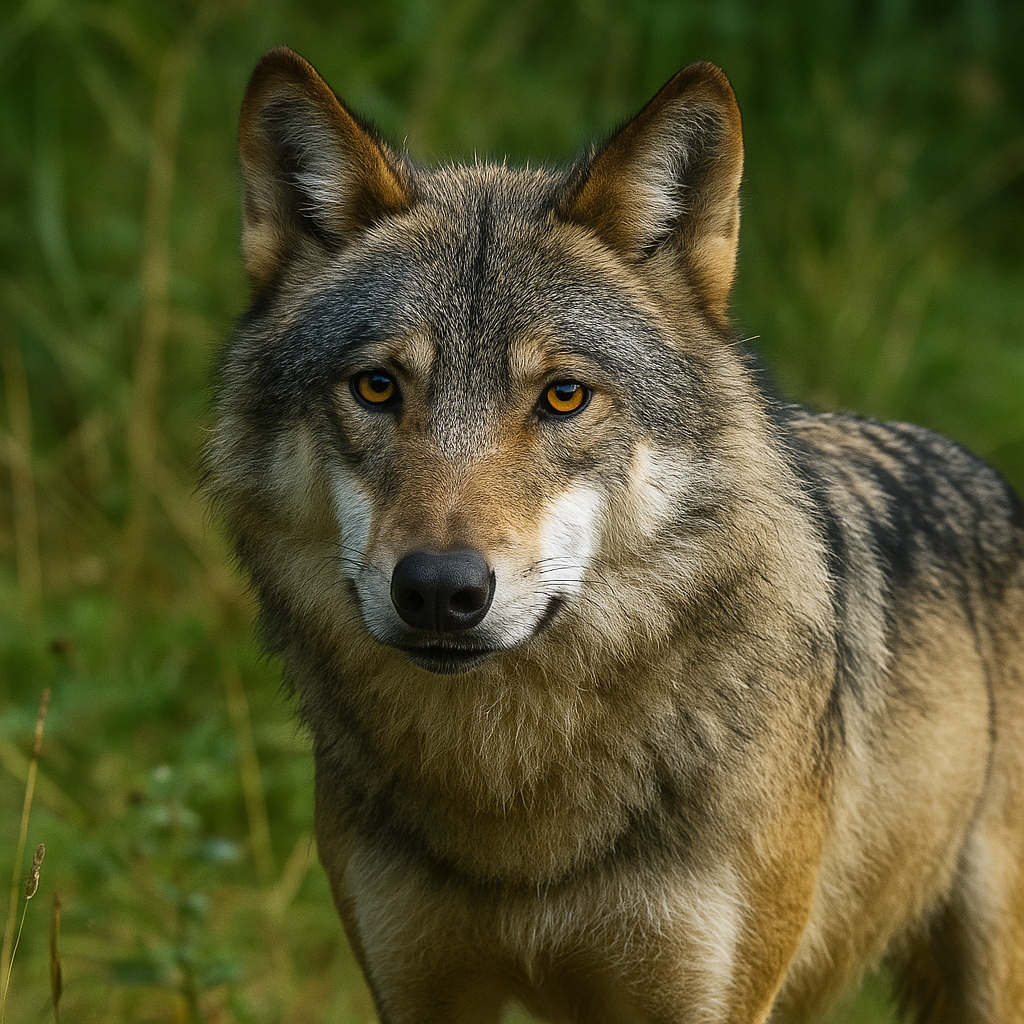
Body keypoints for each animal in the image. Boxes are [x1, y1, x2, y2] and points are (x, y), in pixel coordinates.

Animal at [207, 47, 1024, 1023]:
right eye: (377, 387)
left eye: (564, 395)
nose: (438, 588)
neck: (513, 812)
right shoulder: (416, 989)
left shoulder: (706, 999)